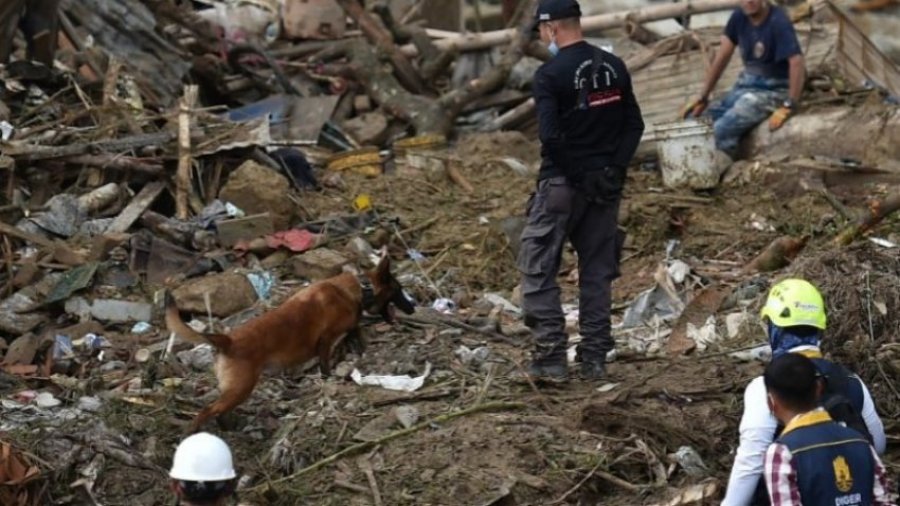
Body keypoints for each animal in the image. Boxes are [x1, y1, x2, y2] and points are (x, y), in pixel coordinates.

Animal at [165, 255, 414, 432]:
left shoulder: (348, 329)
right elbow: (326, 366)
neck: (359, 288)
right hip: (240, 388)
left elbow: (357, 334)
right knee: (207, 411)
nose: (413, 307)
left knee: (220, 413)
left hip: (235, 390)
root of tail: (228, 340)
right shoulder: (326, 341)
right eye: (399, 290)